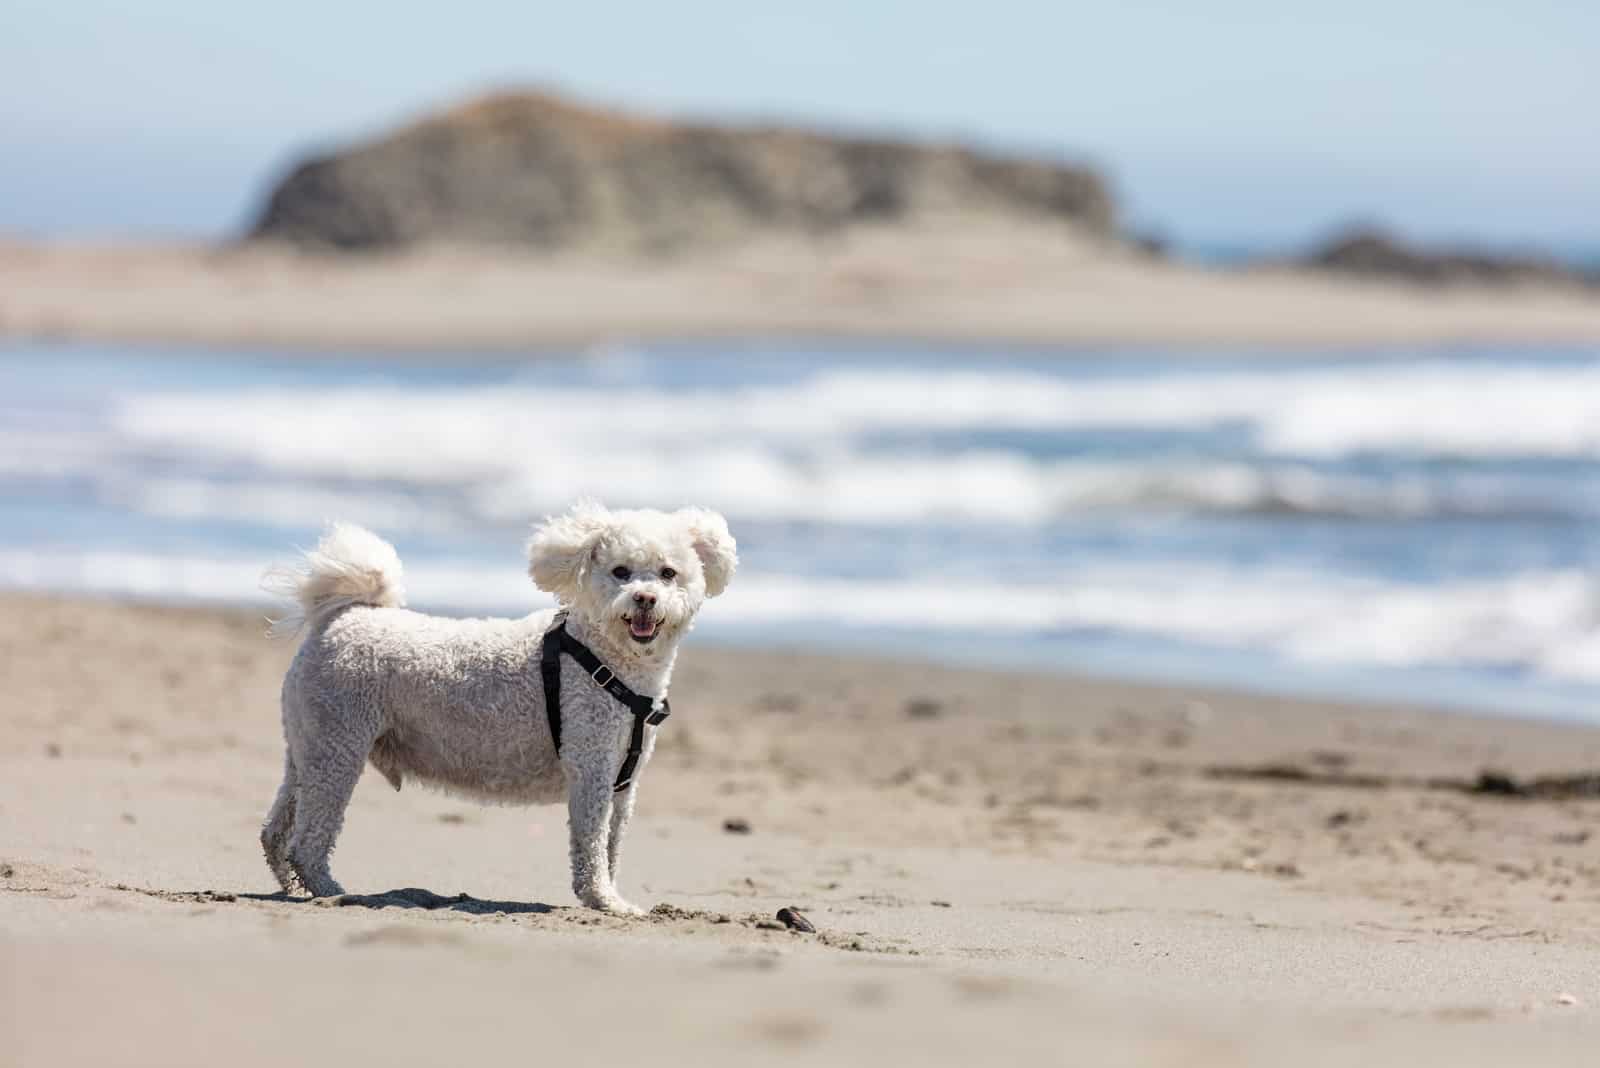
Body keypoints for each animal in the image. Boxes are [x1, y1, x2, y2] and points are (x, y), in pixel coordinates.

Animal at [260, 505, 736, 914]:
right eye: (620, 572)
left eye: (668, 573)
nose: (644, 599)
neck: (604, 655)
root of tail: (342, 619)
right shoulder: (592, 766)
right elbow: (591, 844)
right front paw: (604, 901)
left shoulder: (623, 780)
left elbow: (611, 845)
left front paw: (609, 896)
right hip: (338, 748)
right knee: (308, 842)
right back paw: (331, 892)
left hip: (310, 746)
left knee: (275, 832)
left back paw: (293, 888)